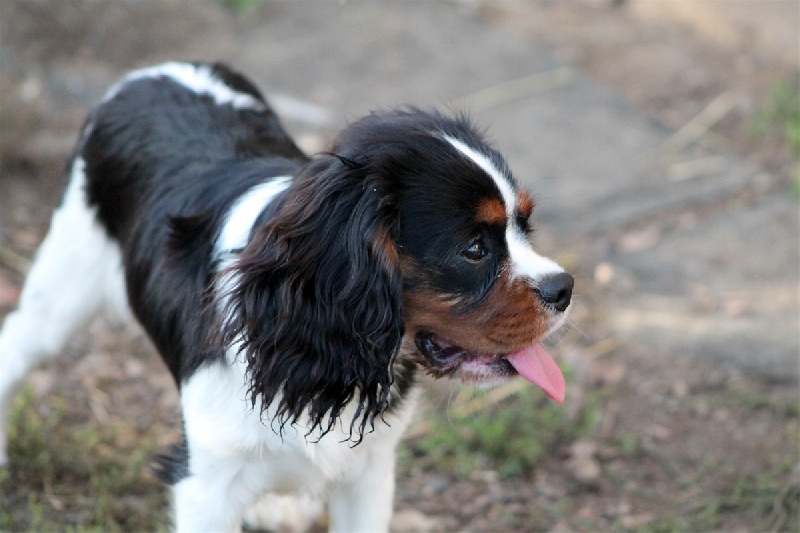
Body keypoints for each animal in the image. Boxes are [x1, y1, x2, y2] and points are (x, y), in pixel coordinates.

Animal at [1, 61, 576, 528]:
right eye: (474, 249)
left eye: (525, 227)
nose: (565, 288)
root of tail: (152, 72)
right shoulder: (206, 486)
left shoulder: (370, 474)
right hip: (62, 290)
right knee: (18, 343)